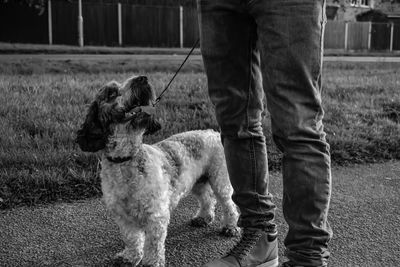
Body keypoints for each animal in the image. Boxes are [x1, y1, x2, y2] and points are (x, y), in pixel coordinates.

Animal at [75, 76, 238, 267]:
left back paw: (230, 227)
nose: (142, 78)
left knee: (229, 205)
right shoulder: (123, 216)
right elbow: (132, 238)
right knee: (207, 198)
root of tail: (212, 132)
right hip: (198, 181)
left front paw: (151, 262)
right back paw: (203, 218)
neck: (126, 160)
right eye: (111, 93)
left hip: (220, 178)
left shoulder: (156, 215)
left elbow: (153, 244)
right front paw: (130, 257)